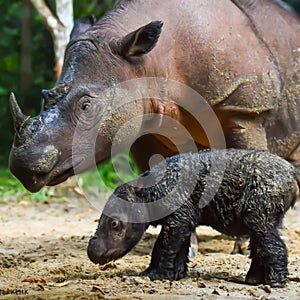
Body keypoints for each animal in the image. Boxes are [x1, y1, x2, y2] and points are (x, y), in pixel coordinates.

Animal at [9, 0, 300, 196]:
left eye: (86, 105)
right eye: (45, 96)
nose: (23, 167)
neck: (147, 63)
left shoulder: (244, 106)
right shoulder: (141, 122)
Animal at [88, 149, 298, 288]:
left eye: (114, 224)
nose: (92, 251)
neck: (150, 192)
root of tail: (292, 173)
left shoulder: (177, 220)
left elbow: (162, 247)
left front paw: (155, 275)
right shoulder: (184, 221)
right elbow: (178, 250)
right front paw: (176, 274)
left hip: (257, 216)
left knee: (274, 246)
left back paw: (274, 283)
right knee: (261, 246)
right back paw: (253, 280)